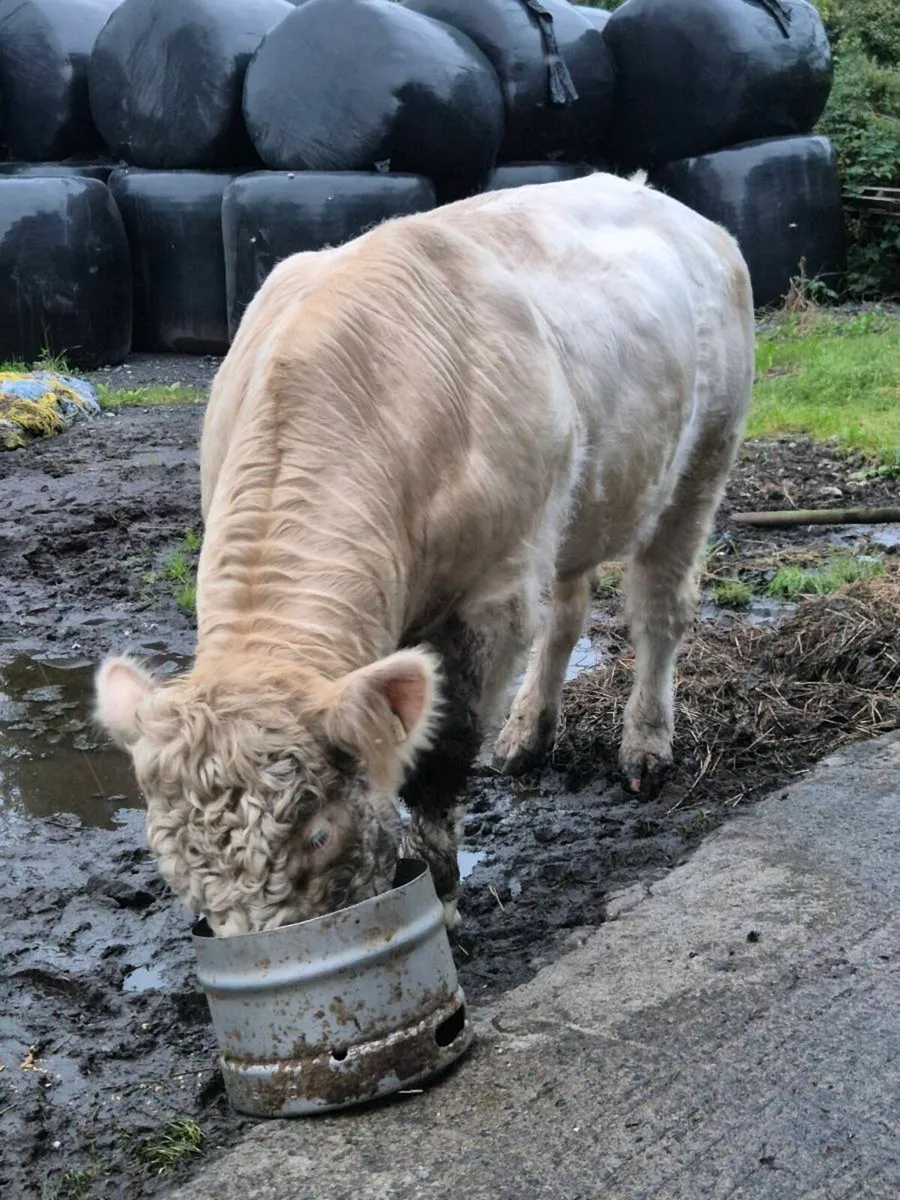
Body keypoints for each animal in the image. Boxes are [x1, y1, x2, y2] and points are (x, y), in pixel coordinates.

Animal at [95, 170, 755, 937]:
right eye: (171, 860)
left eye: (318, 833)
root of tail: (670, 204)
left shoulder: (493, 592)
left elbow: (442, 755)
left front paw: (439, 896)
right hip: (576, 503)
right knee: (567, 609)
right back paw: (526, 733)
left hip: (704, 460)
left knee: (658, 609)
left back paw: (645, 744)